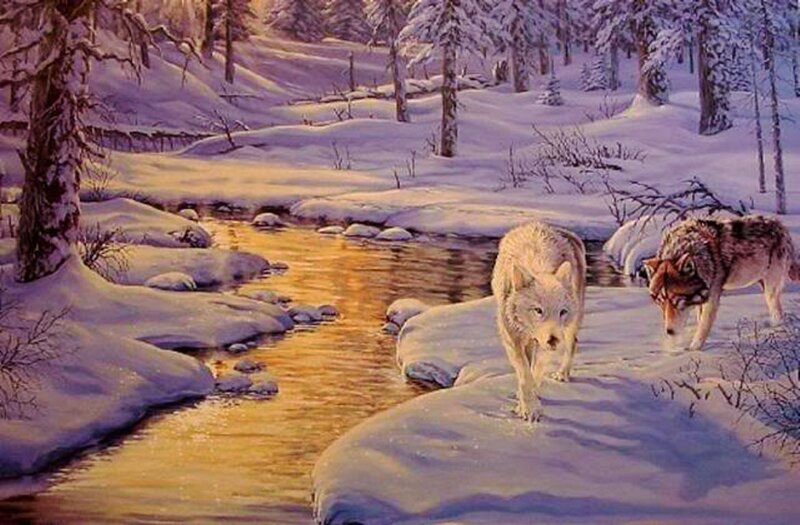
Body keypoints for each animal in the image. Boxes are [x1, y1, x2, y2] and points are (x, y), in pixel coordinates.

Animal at [492, 222, 587, 422]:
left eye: (562, 311)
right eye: (538, 310)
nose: (553, 340)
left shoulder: (544, 344)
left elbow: (535, 371)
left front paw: (531, 407)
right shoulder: (512, 338)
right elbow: (524, 374)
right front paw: (528, 408)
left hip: (571, 325)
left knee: (572, 343)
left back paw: (562, 374)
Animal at [643, 215, 800, 352]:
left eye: (678, 301)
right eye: (661, 302)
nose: (669, 332)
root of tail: (781, 227)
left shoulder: (712, 297)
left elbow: (703, 326)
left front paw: (693, 350)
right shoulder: (701, 297)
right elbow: (699, 320)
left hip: (770, 291)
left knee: (777, 312)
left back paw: (775, 329)